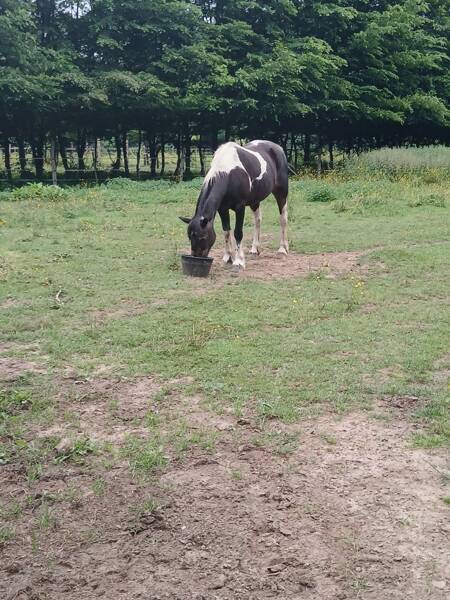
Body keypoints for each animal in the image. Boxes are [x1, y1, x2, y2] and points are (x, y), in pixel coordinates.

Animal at [179, 138, 288, 270]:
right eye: (189, 237)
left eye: (203, 237)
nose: (197, 257)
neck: (228, 173)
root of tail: (278, 147)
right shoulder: (222, 209)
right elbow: (226, 231)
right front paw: (228, 257)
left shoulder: (240, 207)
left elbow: (238, 232)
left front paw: (239, 261)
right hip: (255, 200)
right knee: (257, 220)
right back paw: (254, 249)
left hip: (281, 193)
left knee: (283, 218)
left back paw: (282, 249)